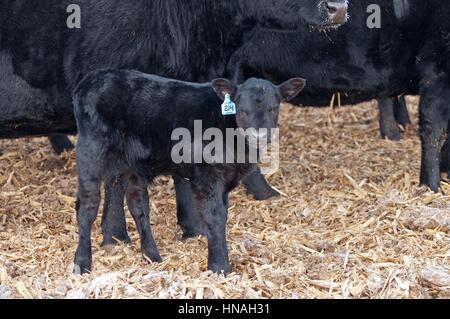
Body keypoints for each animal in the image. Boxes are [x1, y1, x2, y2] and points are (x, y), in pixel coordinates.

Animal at [73, 70, 306, 276]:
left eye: (273, 108)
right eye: (242, 110)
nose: (259, 136)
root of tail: (93, 77)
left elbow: (223, 215)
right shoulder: (207, 176)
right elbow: (215, 217)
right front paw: (219, 266)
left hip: (130, 163)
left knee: (137, 204)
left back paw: (151, 255)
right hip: (90, 150)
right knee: (87, 206)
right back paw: (82, 263)